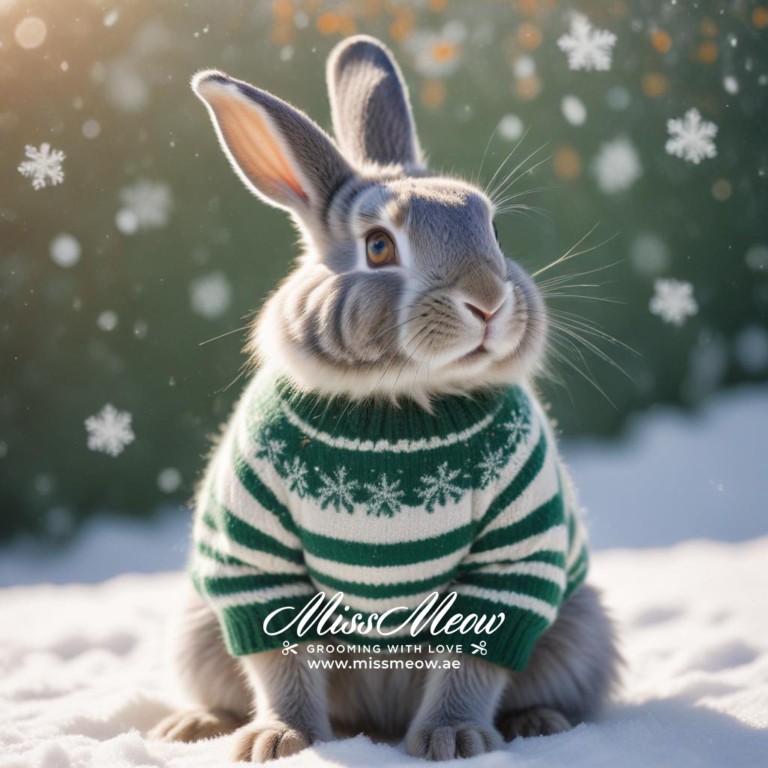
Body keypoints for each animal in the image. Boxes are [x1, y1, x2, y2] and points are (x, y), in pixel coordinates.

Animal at [150, 35, 620, 762]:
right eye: (378, 247)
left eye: (492, 231)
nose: (488, 302)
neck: (397, 401)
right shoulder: (255, 552)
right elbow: (280, 655)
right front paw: (280, 741)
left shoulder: (511, 553)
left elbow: (474, 655)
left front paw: (453, 739)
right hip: (198, 628)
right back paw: (195, 725)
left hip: (578, 629)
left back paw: (538, 723)